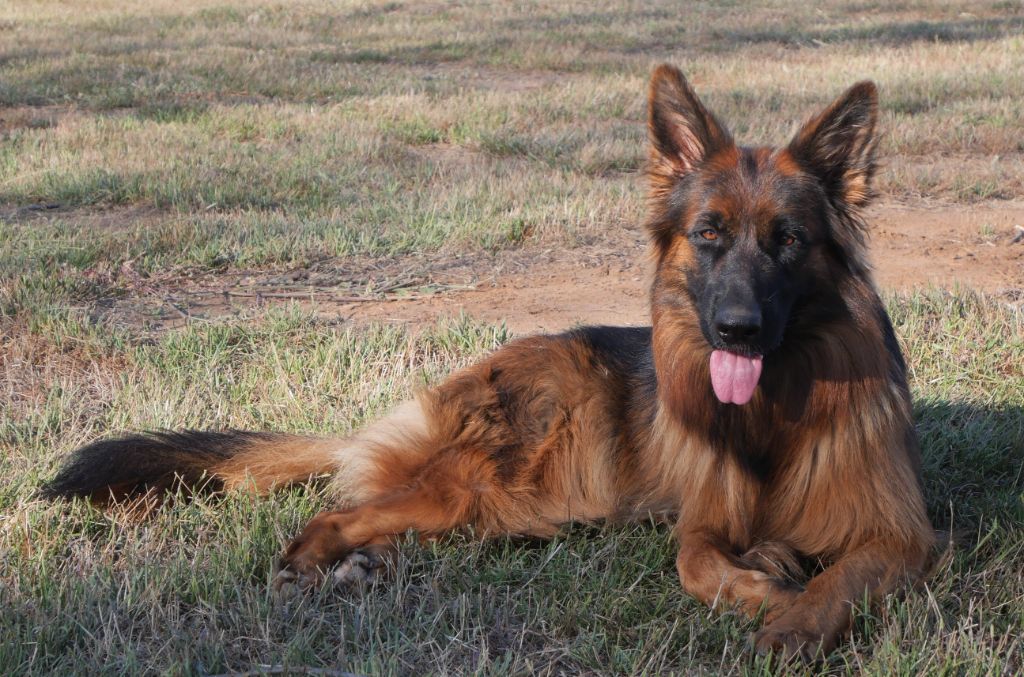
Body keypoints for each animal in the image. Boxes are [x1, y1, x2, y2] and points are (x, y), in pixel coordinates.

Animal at [46, 66, 937, 655]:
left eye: (787, 240)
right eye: (709, 233)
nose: (738, 329)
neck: (774, 415)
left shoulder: (897, 537)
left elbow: (836, 579)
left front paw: (794, 615)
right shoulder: (703, 519)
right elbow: (694, 559)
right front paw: (763, 586)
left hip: (495, 510)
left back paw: (363, 565)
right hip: (499, 489)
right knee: (337, 510)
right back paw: (315, 564)